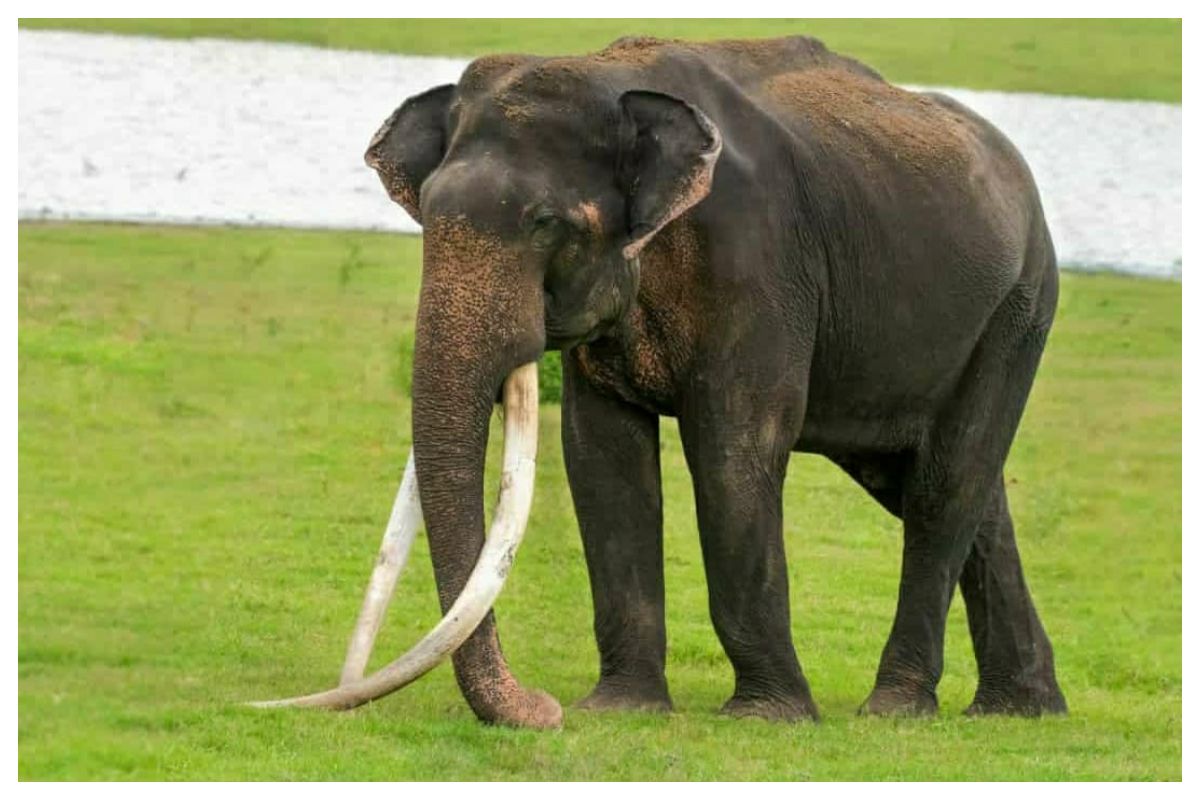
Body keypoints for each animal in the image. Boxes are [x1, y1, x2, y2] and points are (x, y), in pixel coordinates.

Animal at [282, 34, 1070, 728]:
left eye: (545, 223)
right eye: (430, 214)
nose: (542, 708)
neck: (611, 79)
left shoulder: (759, 265)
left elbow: (733, 453)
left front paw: (767, 717)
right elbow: (601, 458)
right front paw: (621, 709)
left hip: (1019, 309)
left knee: (945, 486)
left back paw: (897, 709)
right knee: (950, 491)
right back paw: (1021, 708)